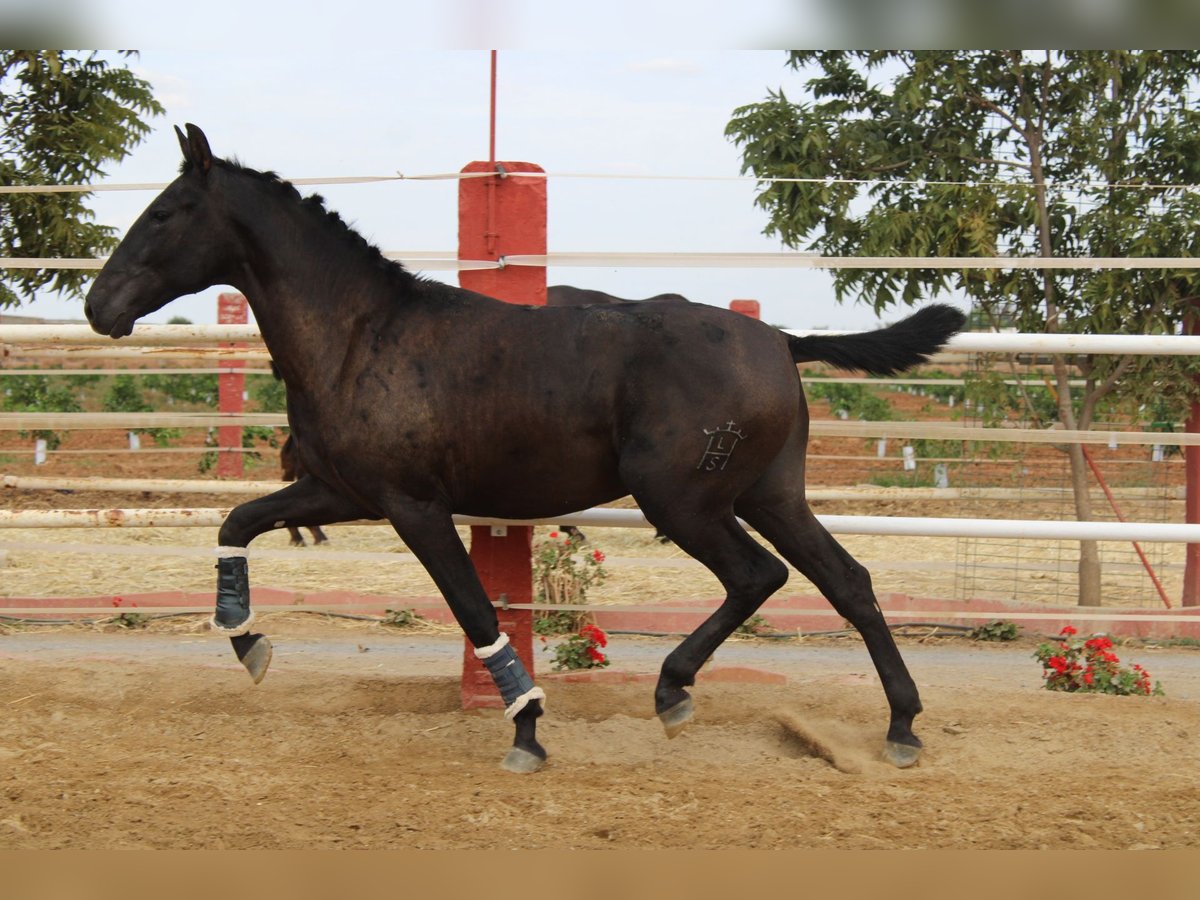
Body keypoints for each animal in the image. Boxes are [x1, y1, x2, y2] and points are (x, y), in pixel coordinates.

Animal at [85, 124, 966, 773]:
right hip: (769, 496)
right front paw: (248, 643)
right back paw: (902, 726)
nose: (98, 305)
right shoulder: (346, 493)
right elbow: (237, 521)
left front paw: (527, 730)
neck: (363, 335)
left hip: (682, 499)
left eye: (164, 212)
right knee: (848, 581)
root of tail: (781, 338)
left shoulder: (414, 505)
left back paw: (674, 692)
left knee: (760, 576)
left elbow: (474, 608)